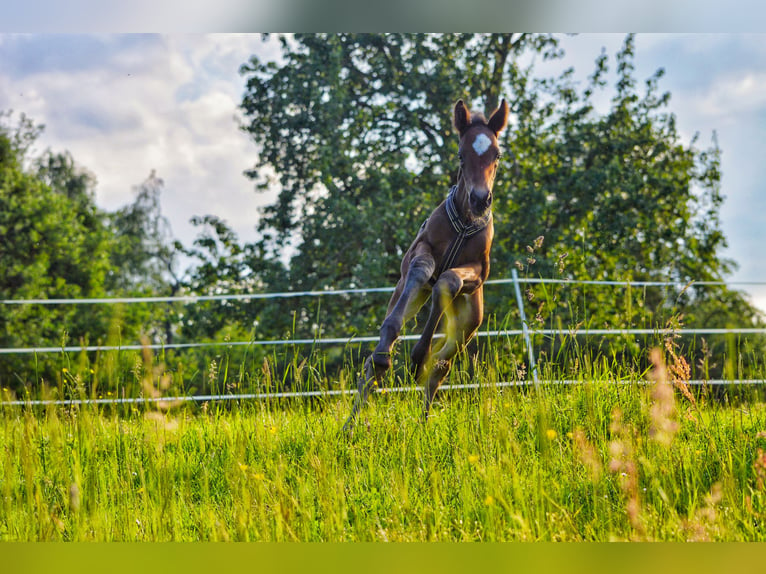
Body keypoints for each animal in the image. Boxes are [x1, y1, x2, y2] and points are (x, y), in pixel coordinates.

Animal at [348, 100, 510, 432]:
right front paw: (400, 353)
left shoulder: (479, 272)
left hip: (467, 325)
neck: (465, 223)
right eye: (461, 154)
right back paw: (350, 426)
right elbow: (423, 268)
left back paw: (421, 424)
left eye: (497, 155)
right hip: (412, 297)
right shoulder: (417, 254)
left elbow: (449, 280)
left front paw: (419, 355)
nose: (480, 200)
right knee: (374, 365)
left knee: (440, 367)